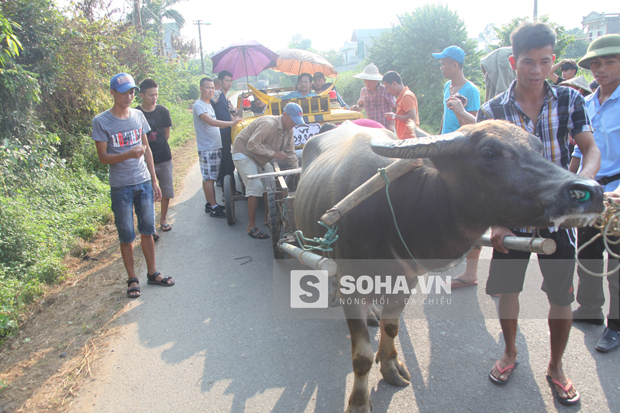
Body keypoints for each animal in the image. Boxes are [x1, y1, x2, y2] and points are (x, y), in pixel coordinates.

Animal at [296, 120, 604, 412]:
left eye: (539, 147)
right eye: (489, 152)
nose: (590, 191)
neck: (395, 208)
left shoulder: (405, 281)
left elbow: (391, 328)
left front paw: (391, 367)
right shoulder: (352, 286)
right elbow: (361, 357)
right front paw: (359, 403)